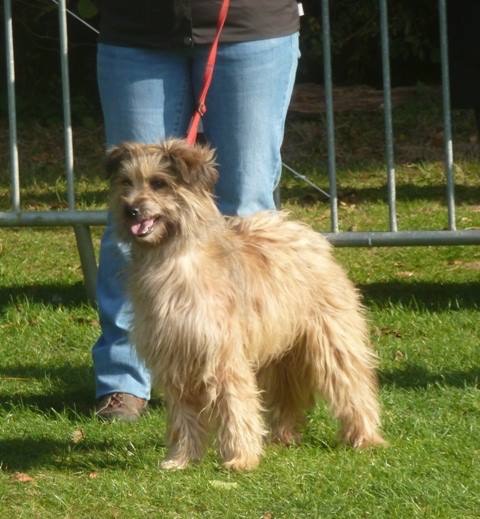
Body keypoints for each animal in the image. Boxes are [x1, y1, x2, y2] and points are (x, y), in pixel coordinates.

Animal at [106, 139, 385, 471]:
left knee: (352, 384)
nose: (131, 209)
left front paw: (240, 458)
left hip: (331, 340)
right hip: (279, 354)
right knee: (286, 394)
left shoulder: (222, 356)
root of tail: (309, 236)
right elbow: (183, 414)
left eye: (159, 183)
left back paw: (365, 437)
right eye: (126, 182)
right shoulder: (175, 356)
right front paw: (181, 459)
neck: (173, 259)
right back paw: (283, 436)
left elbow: (235, 405)